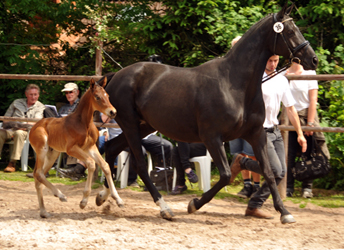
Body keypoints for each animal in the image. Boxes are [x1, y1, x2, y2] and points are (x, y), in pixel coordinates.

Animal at [29, 78, 123, 219]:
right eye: (97, 97)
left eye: (108, 96)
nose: (113, 112)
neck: (84, 123)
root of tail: (33, 127)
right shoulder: (72, 149)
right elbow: (91, 163)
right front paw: (83, 202)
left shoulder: (91, 147)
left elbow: (105, 166)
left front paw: (118, 199)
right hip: (42, 150)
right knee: (38, 173)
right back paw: (61, 196)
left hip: (53, 154)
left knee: (38, 176)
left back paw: (44, 211)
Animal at [96, 3, 318, 223]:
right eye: (289, 31)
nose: (313, 60)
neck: (234, 84)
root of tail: (117, 75)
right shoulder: (212, 137)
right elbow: (226, 175)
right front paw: (194, 204)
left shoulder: (256, 133)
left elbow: (269, 172)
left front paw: (285, 212)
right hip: (130, 125)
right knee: (140, 166)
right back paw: (164, 208)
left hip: (143, 126)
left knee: (111, 148)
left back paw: (102, 196)